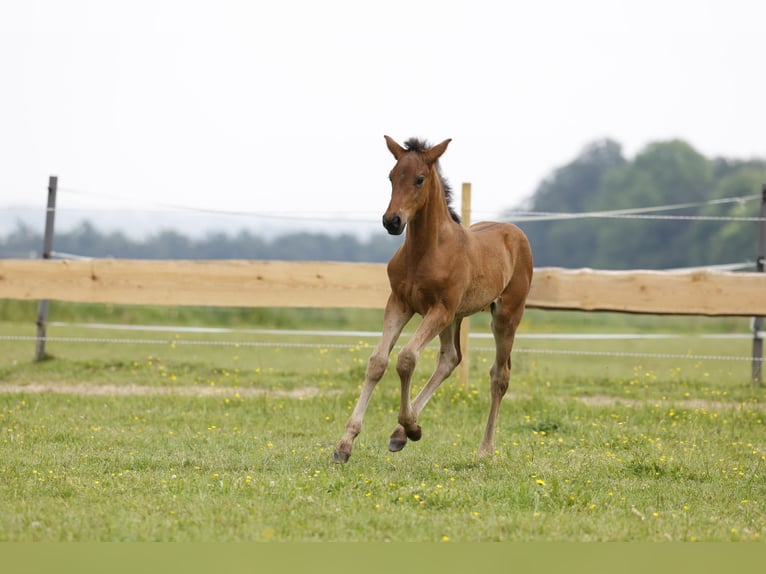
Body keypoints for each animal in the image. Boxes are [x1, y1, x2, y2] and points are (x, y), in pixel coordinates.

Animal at [336, 135, 536, 464]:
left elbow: (406, 359)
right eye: (391, 177)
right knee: (450, 358)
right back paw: (399, 434)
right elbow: (378, 362)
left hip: (505, 315)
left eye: (419, 179)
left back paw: (483, 449)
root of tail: (515, 232)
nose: (392, 221)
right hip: (456, 316)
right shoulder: (399, 303)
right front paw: (345, 444)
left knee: (499, 376)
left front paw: (412, 426)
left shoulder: (438, 309)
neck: (425, 251)